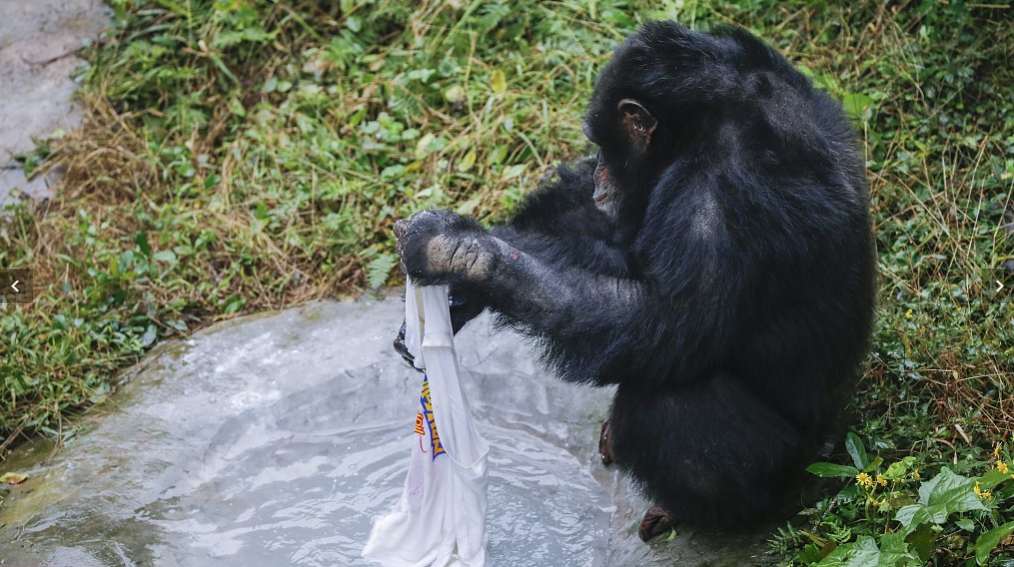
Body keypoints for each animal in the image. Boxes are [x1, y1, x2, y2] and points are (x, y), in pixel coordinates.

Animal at [391, 20, 876, 539]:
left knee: (668, 405)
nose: (599, 172)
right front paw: (464, 288)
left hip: (792, 461)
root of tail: (834, 436)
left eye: (604, 140)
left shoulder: (719, 198)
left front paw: (457, 251)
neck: (713, 117)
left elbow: (657, 318)